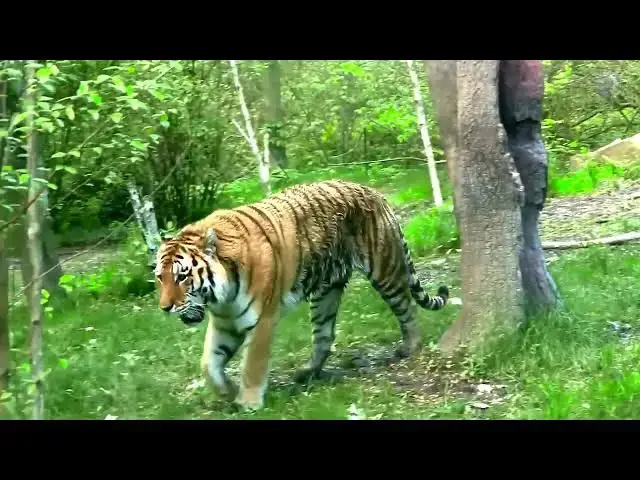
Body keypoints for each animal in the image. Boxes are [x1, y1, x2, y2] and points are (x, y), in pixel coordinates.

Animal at [152, 179, 449, 411]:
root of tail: (373, 191)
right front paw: (228, 391)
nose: (165, 308)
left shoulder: (262, 320)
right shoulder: (225, 323)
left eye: (182, 276)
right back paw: (307, 372)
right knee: (325, 335)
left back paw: (411, 347)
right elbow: (209, 364)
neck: (220, 297)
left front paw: (248, 402)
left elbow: (252, 364)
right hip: (325, 294)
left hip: (384, 270)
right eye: (160, 277)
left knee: (407, 308)